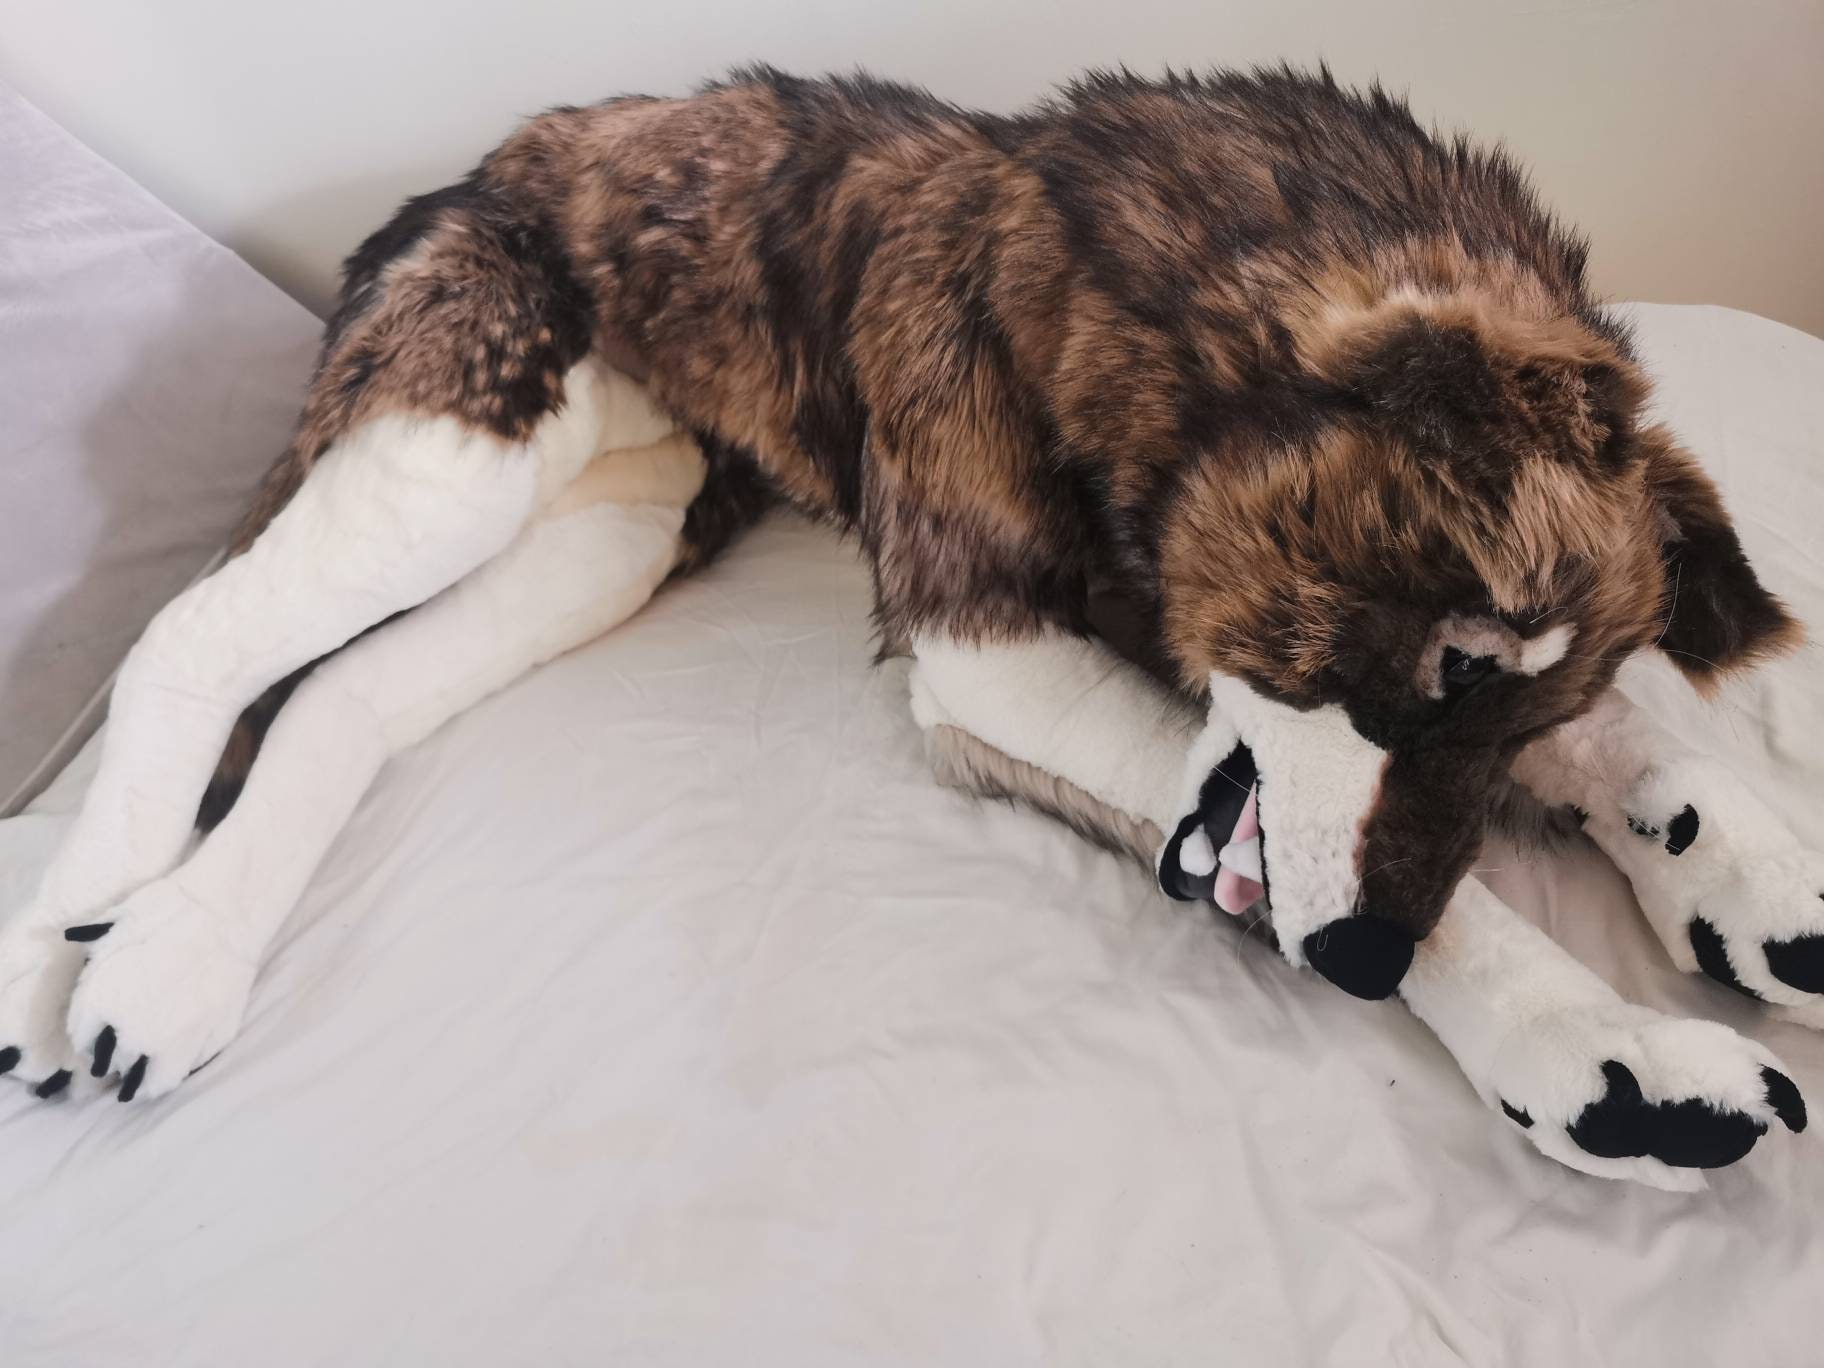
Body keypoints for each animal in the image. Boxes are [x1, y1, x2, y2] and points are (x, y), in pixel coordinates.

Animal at [0, 66, 1816, 1189]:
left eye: (1504, 709)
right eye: (1437, 668)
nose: (1360, 964)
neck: (1132, 317)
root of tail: (487, 163)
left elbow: (1631, 740)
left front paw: (1739, 866)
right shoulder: (985, 655)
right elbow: (1438, 902)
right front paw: (1594, 1043)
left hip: (608, 537)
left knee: (341, 700)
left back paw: (172, 952)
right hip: (459, 455)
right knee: (193, 634)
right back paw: (64, 937)